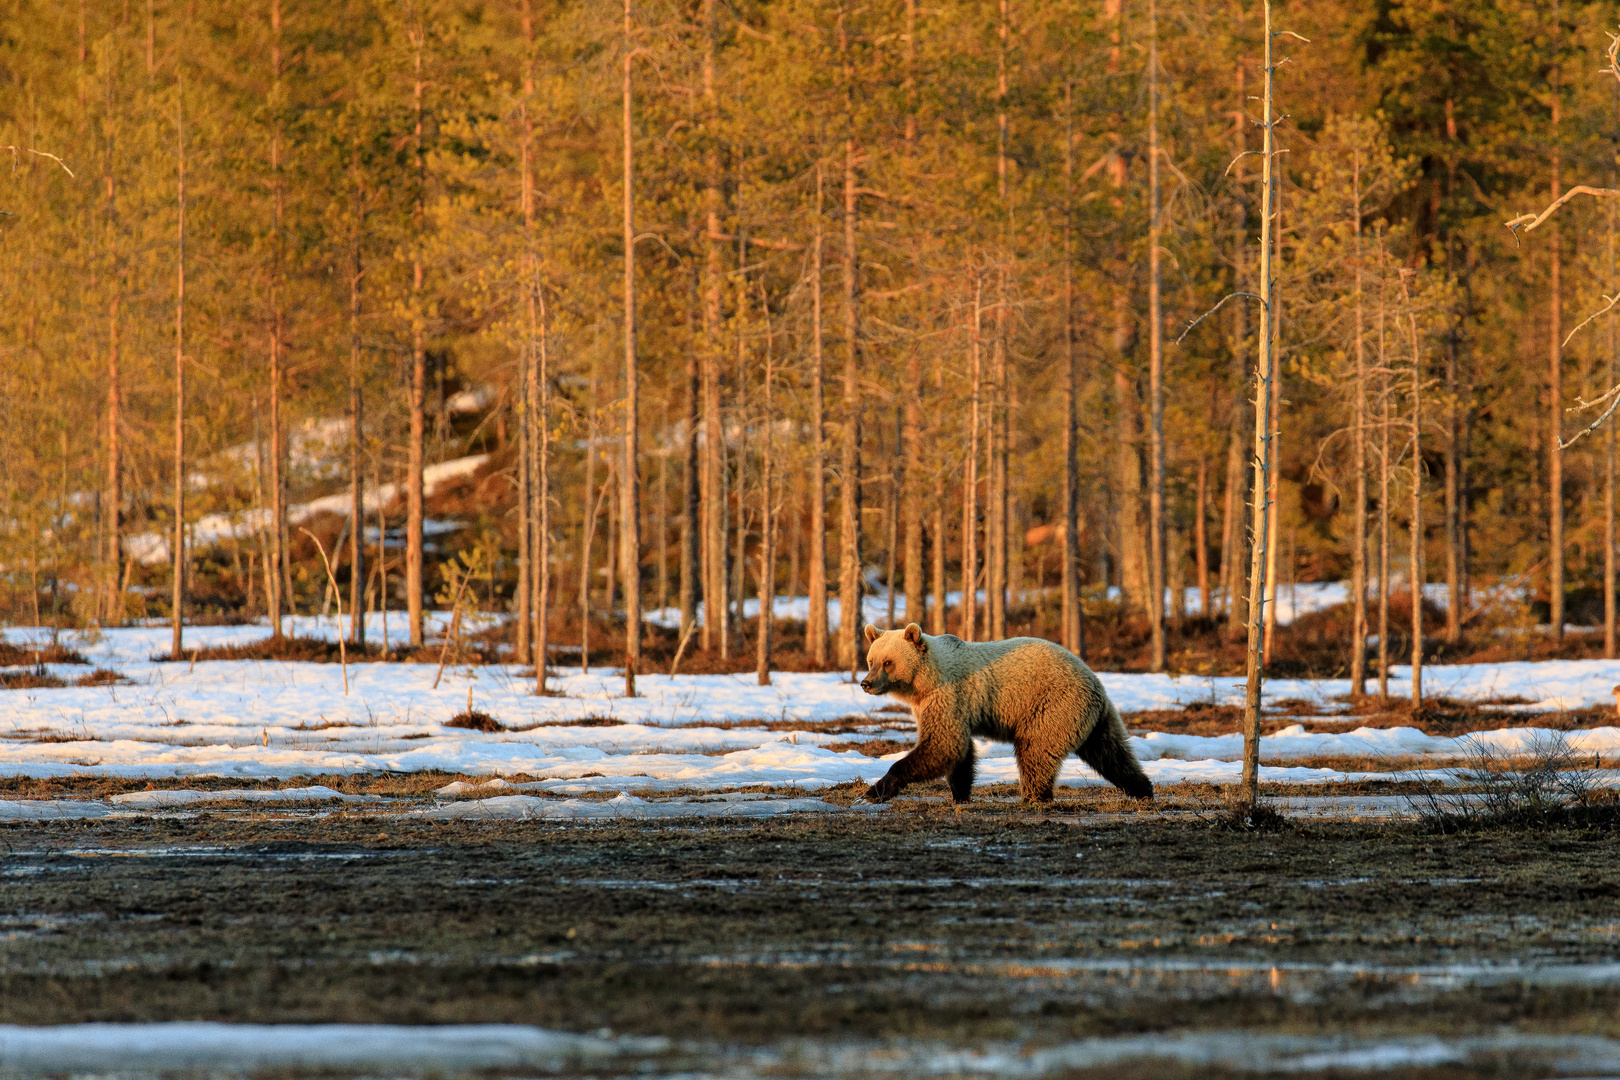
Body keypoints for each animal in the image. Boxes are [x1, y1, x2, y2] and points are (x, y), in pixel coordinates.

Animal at [861, 625, 1153, 803]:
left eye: (888, 662)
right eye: (871, 660)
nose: (866, 683)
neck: (924, 682)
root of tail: (1093, 680)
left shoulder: (947, 696)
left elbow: (943, 745)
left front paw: (874, 790)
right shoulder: (938, 706)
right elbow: (959, 752)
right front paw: (960, 793)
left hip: (1051, 706)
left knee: (1035, 751)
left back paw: (1035, 795)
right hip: (1094, 719)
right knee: (1112, 753)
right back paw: (1143, 788)